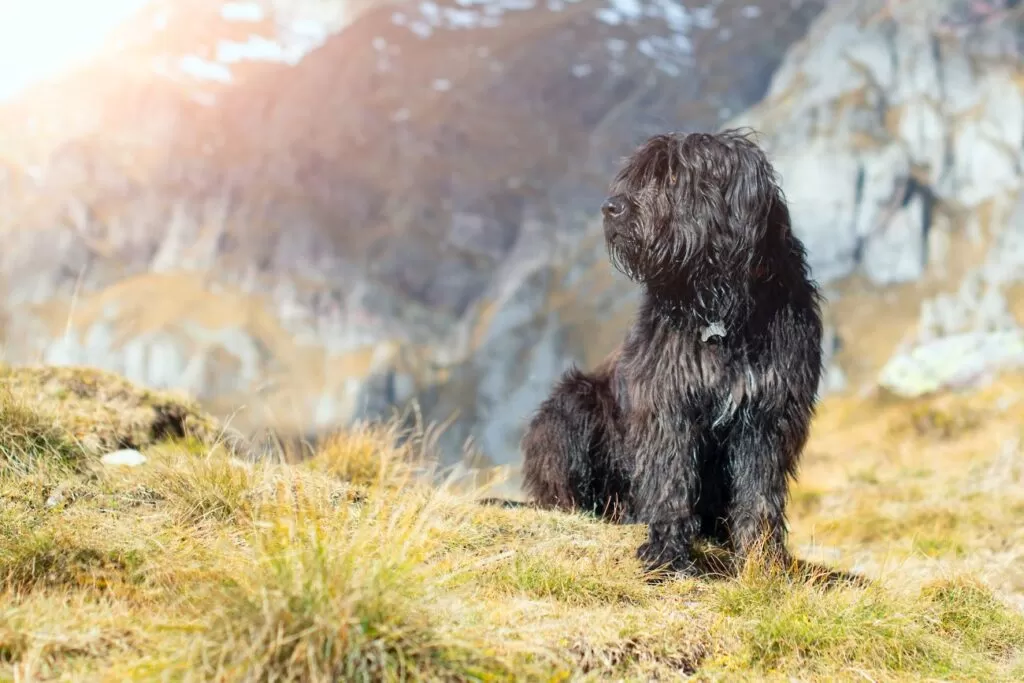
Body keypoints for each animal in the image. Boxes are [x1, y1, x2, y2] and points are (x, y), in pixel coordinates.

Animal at [520, 129, 823, 577]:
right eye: (637, 176)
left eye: (676, 178)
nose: (611, 208)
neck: (720, 307)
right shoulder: (666, 399)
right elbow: (669, 477)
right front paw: (666, 551)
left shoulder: (768, 414)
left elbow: (760, 491)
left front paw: (762, 560)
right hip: (572, 404)